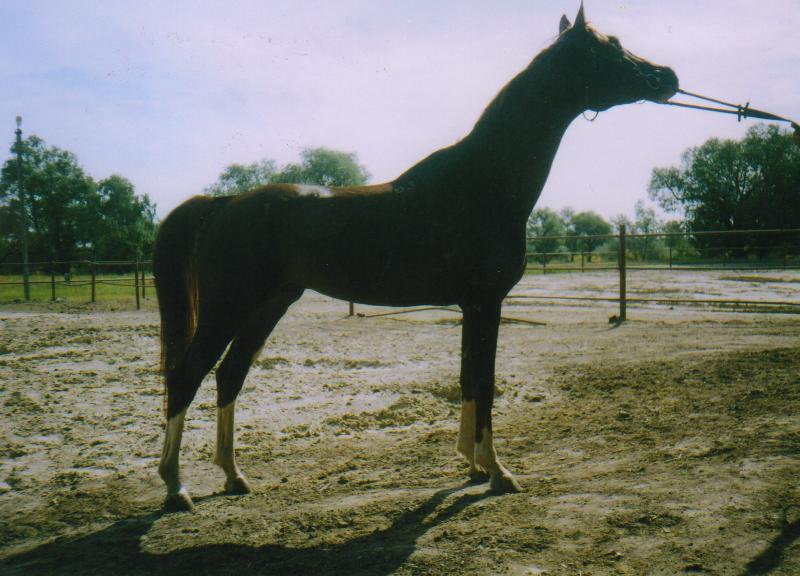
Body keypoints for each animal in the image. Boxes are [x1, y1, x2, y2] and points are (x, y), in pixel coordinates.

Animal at [155, 3, 676, 508]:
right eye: (609, 49)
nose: (667, 76)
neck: (481, 181)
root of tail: (222, 203)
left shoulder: (471, 306)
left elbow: (467, 379)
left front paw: (472, 464)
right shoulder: (487, 302)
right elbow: (484, 382)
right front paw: (499, 472)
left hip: (268, 306)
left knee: (229, 376)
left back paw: (233, 476)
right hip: (229, 308)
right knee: (186, 378)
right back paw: (176, 486)